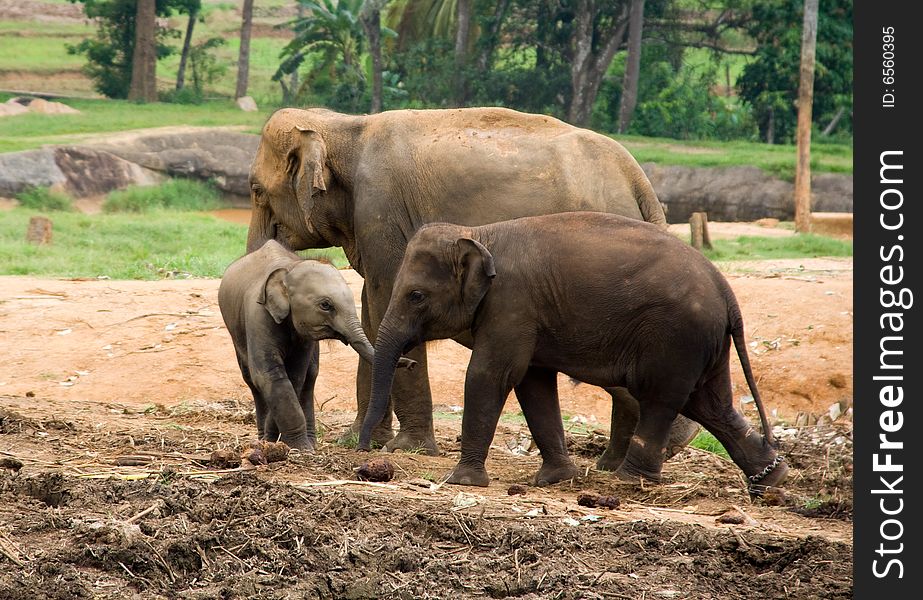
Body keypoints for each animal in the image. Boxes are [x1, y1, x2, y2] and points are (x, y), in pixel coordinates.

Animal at [220, 239, 412, 450]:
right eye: (326, 305)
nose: (411, 363)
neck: (289, 270)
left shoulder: (304, 339)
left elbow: (295, 375)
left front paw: (296, 446)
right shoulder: (258, 316)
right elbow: (269, 375)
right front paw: (293, 446)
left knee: (310, 377)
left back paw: (306, 442)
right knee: (251, 380)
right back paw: (267, 439)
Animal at [245, 104, 700, 460]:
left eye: (255, 190)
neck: (344, 126)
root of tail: (637, 178)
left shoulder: (382, 210)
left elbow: (387, 293)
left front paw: (406, 449)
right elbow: (372, 311)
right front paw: (357, 441)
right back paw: (623, 458)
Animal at [360, 213, 788, 494]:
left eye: (416, 296)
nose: (365, 454)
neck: (478, 233)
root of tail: (726, 290)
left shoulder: (512, 304)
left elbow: (490, 375)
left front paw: (460, 482)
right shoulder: (526, 315)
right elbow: (533, 383)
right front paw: (556, 480)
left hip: (677, 338)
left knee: (661, 399)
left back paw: (628, 482)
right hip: (701, 342)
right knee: (710, 403)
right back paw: (770, 478)